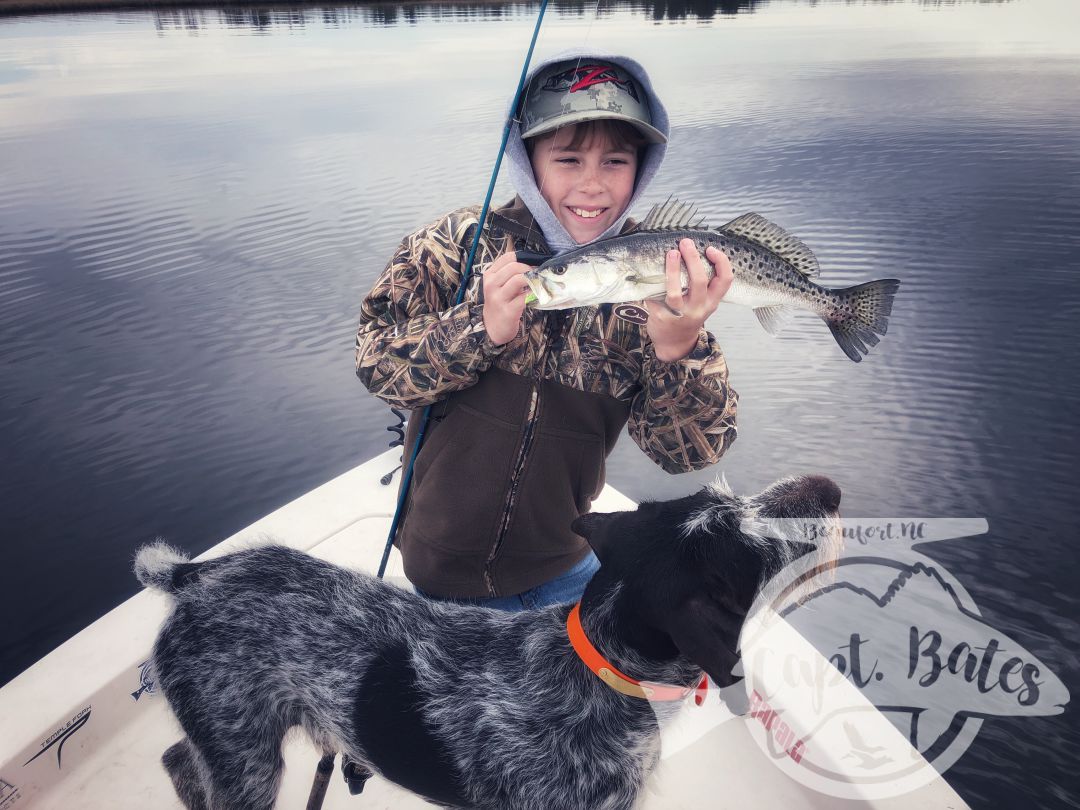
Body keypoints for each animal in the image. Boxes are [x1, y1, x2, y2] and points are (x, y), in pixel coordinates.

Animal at [137, 475, 842, 810]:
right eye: (759, 551)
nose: (831, 490)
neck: (602, 665)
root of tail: (191, 577)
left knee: (176, 757)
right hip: (247, 756)